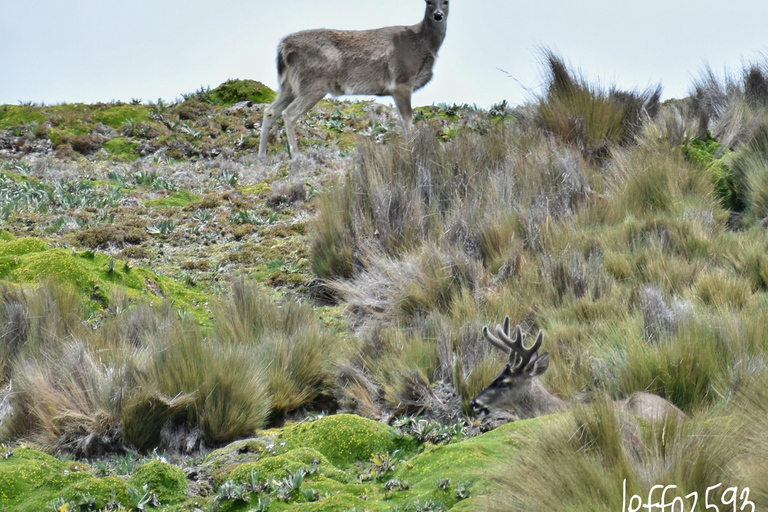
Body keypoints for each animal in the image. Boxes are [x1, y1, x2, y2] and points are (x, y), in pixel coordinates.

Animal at [260, 0, 450, 157]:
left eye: (446, 1)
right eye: (428, 1)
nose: (438, 15)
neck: (424, 46)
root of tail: (283, 47)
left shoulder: (395, 90)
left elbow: (402, 122)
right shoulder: (402, 82)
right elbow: (408, 121)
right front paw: (411, 150)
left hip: (289, 86)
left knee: (270, 111)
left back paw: (262, 156)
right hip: (313, 83)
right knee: (289, 113)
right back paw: (296, 155)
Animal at [472, 316, 688, 424]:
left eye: (504, 383)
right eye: (496, 376)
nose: (474, 403)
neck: (553, 409)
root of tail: (685, 417)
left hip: (642, 404)